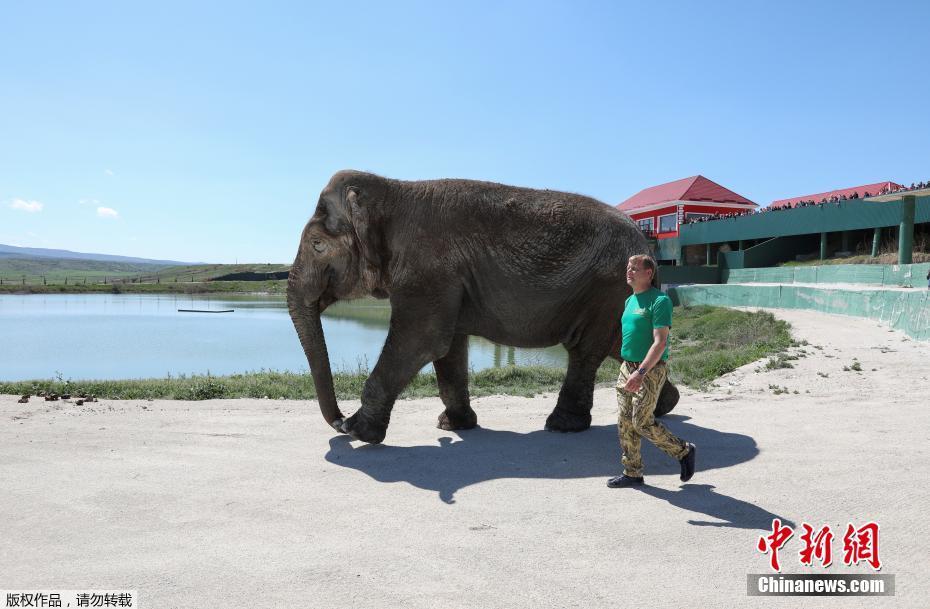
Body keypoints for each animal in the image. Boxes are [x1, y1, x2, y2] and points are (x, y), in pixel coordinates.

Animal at [290, 169, 680, 444]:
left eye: (317, 244)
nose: (339, 421)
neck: (392, 190)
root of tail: (644, 242)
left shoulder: (428, 271)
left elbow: (422, 339)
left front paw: (360, 433)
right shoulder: (445, 279)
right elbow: (448, 349)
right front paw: (453, 426)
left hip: (607, 288)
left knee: (585, 351)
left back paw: (563, 426)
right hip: (614, 296)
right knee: (616, 346)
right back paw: (662, 407)